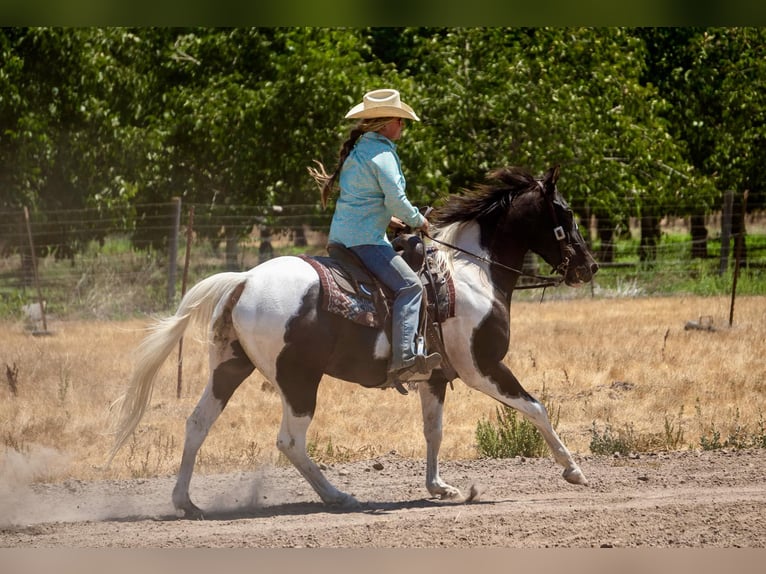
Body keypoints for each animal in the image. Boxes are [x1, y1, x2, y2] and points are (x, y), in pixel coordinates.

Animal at [108, 164, 598, 518]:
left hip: (229, 367)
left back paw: (186, 502)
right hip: (299, 381)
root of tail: (244, 279)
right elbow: (536, 407)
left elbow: (433, 430)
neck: (471, 275)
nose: (589, 266)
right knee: (290, 441)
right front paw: (573, 470)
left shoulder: (436, 377)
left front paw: (439, 486)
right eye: (567, 214)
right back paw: (338, 496)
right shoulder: (484, 367)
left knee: (197, 423)